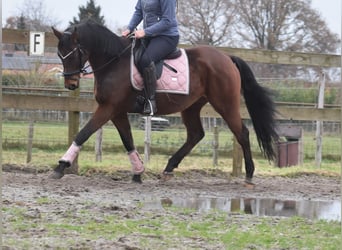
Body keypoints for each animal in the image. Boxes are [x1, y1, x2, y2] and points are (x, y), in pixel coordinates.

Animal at [51, 21, 278, 185]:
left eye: (73, 53)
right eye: (60, 55)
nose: (71, 84)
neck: (114, 62)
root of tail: (227, 58)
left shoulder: (108, 109)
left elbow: (83, 134)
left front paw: (61, 166)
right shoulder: (117, 112)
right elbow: (127, 140)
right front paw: (138, 172)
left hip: (225, 103)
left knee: (242, 133)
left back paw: (249, 174)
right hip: (192, 106)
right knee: (196, 135)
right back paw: (168, 169)